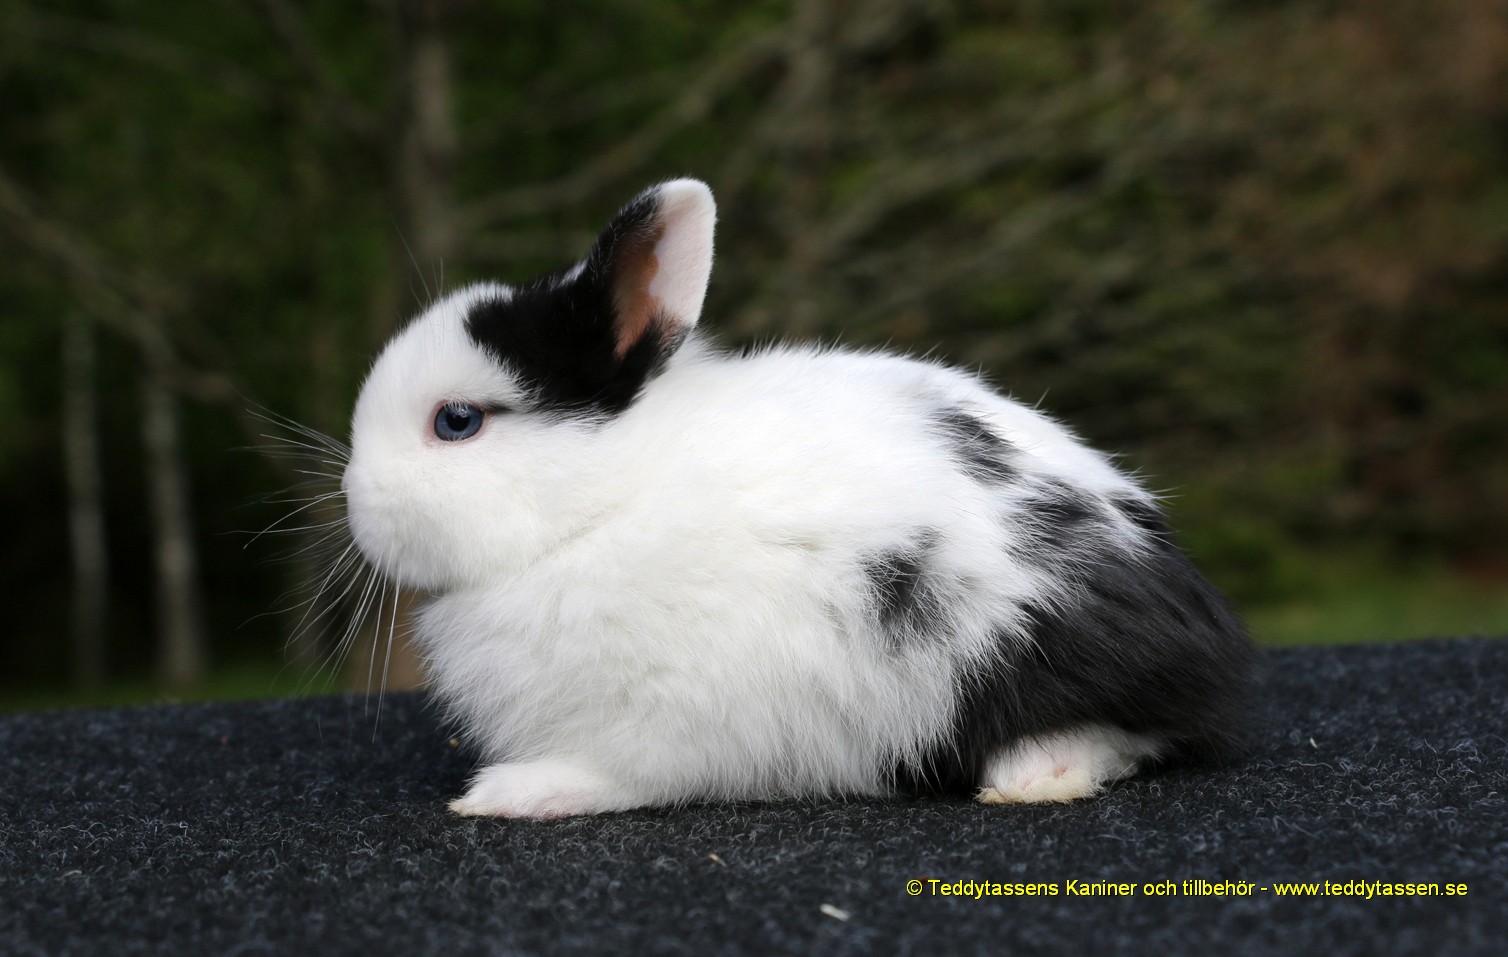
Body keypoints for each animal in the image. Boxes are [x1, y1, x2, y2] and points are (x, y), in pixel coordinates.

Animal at [345, 177, 1260, 813]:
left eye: (456, 421)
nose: (356, 504)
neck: (602, 505)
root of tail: (1201, 618)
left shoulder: (658, 715)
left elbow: (614, 769)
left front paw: (510, 794)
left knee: (1132, 730)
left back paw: (1036, 773)